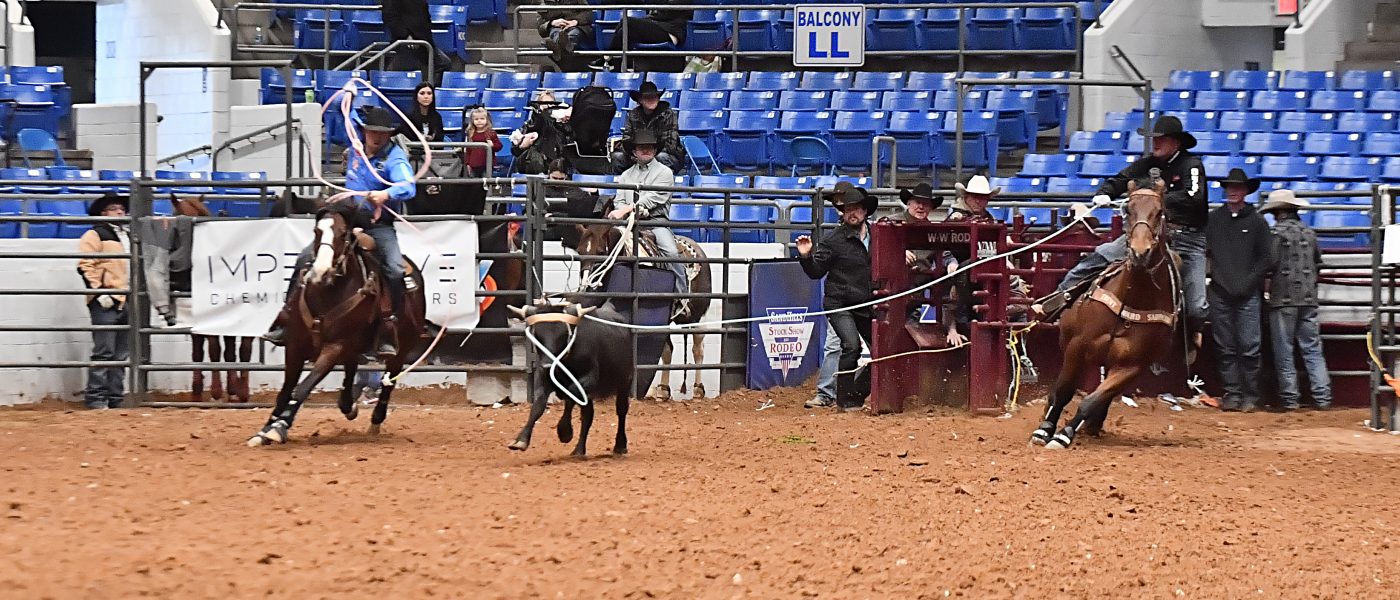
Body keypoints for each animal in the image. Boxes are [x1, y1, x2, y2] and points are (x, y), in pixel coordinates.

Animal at [246, 205, 428, 444]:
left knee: (389, 380)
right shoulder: (295, 345)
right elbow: (286, 390)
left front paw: (279, 427)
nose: (321, 273)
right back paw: (348, 406)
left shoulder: (334, 347)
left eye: (343, 234)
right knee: (352, 371)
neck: (327, 293)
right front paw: (265, 430)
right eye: (316, 231)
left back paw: (375, 420)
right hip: (353, 346)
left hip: (400, 347)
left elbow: (303, 387)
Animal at [574, 216, 716, 400]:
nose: (586, 285)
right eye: (579, 251)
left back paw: (698, 389)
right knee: (668, 350)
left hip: (698, 316)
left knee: (698, 348)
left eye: (600, 251)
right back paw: (663, 390)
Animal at [1030, 179, 1181, 447]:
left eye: (1159, 212)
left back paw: (1092, 425)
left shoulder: (1131, 366)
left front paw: (1064, 435)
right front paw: (1045, 430)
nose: (1140, 252)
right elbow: (1064, 390)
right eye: (1128, 210)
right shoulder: (1077, 346)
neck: (1131, 299)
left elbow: (1092, 400)